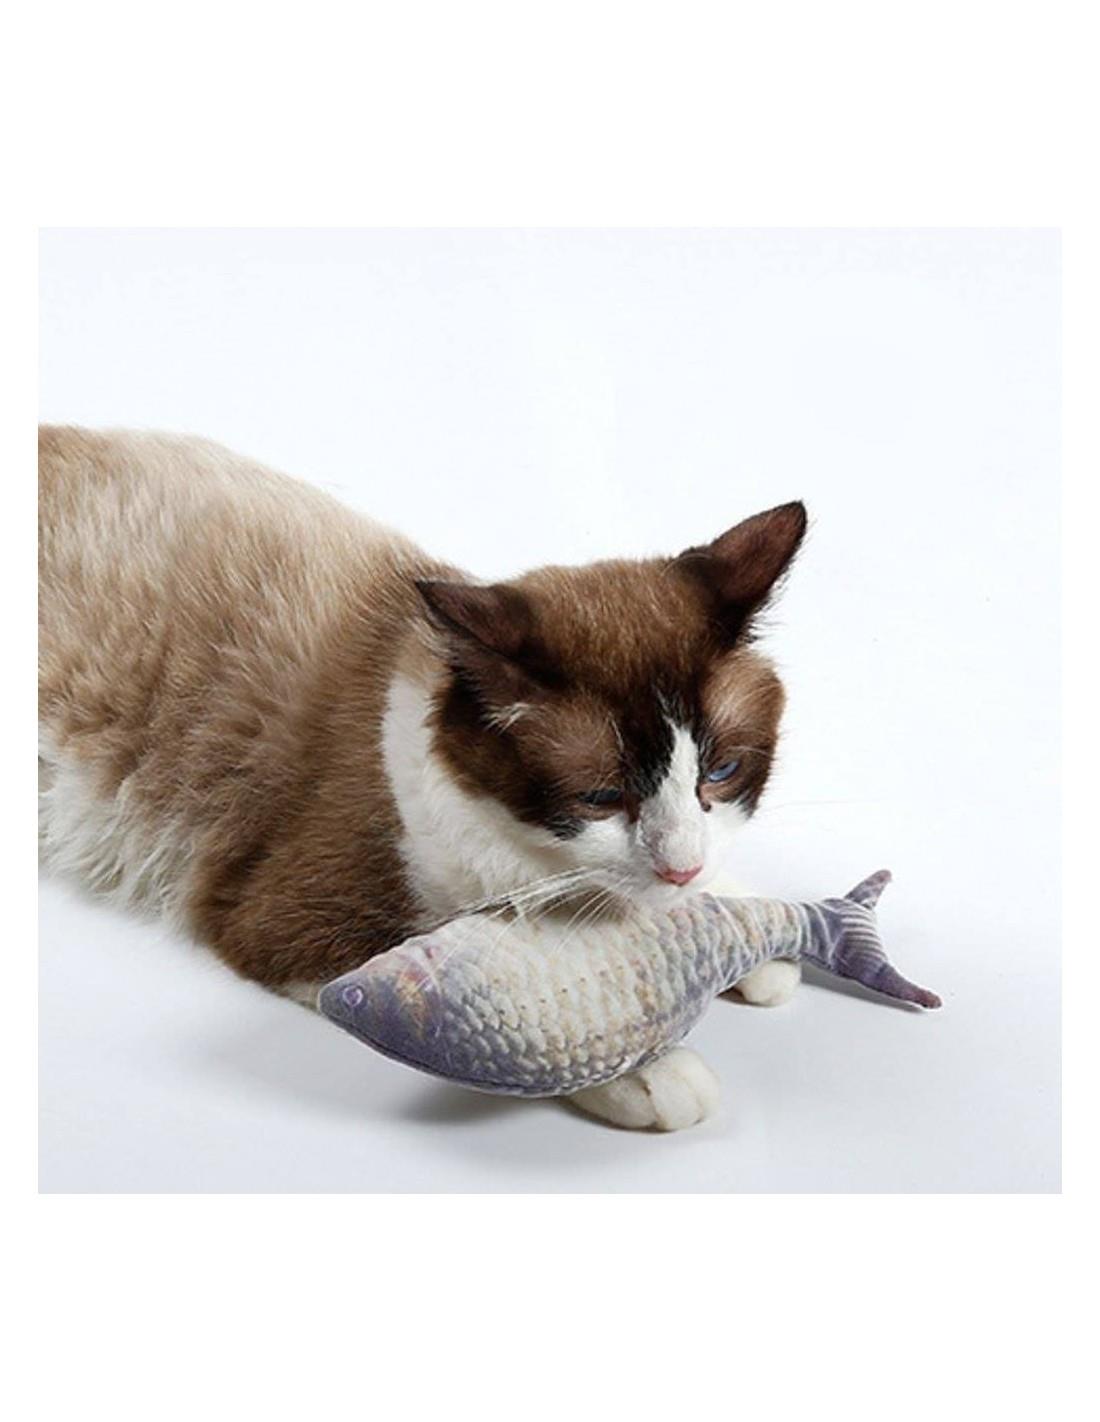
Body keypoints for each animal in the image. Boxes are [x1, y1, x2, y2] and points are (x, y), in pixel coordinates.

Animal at [38, 426, 806, 1131]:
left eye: (722, 771)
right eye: (601, 797)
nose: (680, 869)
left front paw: (758, 931)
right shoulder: (293, 917)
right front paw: (650, 1071)